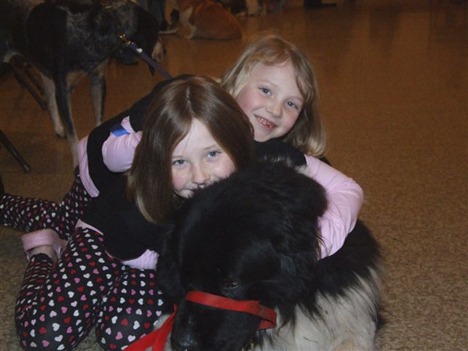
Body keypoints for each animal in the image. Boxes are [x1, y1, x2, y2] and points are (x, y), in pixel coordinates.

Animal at [0, 0, 165, 166]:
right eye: (157, 33)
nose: (164, 50)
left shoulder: (97, 80)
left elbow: (98, 118)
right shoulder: (63, 92)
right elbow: (73, 136)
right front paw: (77, 165)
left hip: (44, 69)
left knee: (49, 99)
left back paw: (58, 128)